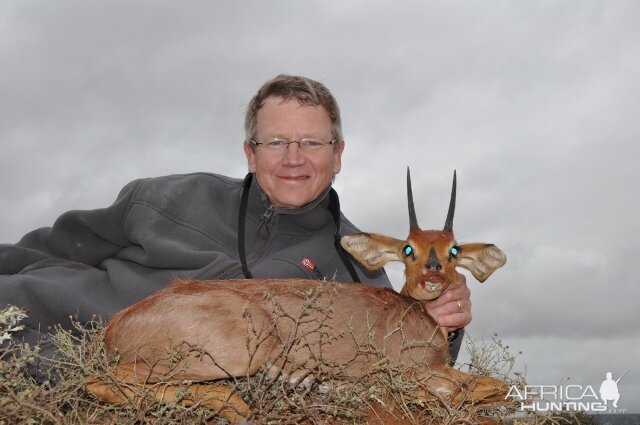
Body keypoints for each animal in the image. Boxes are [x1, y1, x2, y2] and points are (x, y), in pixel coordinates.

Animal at [86, 169, 504, 420]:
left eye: (453, 250)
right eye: (407, 249)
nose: (432, 272)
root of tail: (116, 326)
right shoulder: (414, 374)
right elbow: (494, 389)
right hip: (232, 356)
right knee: (101, 381)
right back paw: (233, 405)